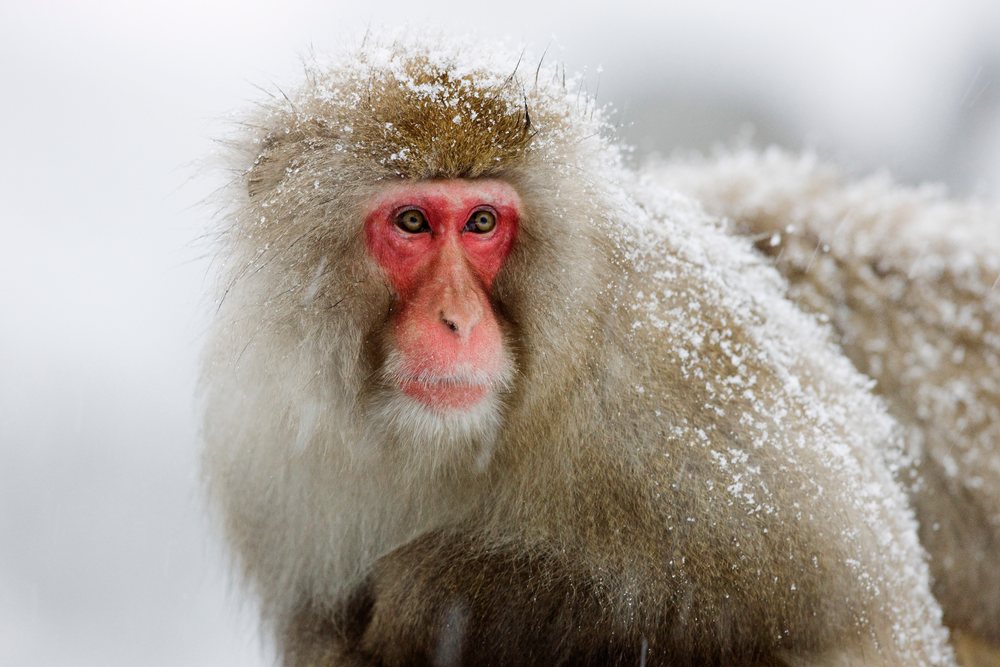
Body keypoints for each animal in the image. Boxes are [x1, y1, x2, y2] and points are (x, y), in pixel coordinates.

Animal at [201, 36, 958, 666]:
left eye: (482, 222)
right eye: (412, 221)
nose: (456, 319)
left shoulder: (671, 378)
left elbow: (823, 605)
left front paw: (433, 595)